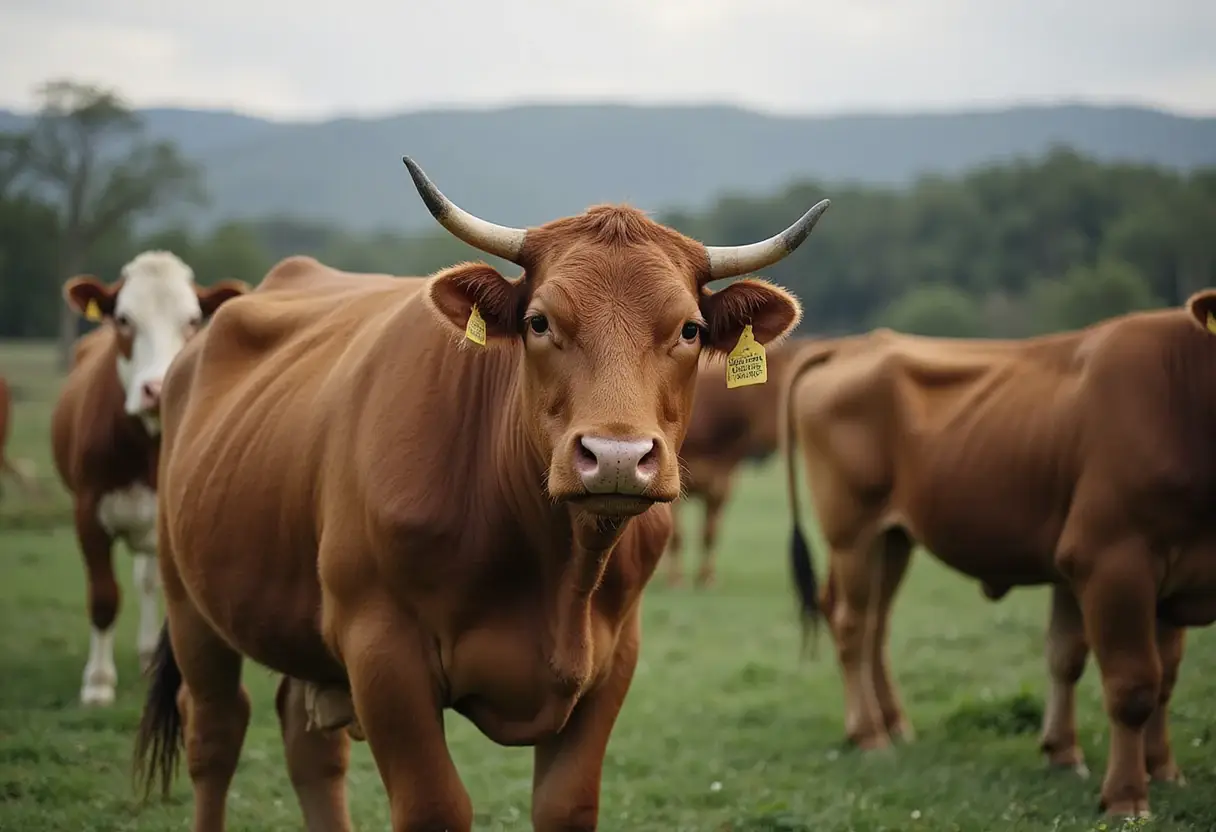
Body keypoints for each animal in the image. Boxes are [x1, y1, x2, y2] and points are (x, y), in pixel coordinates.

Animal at [50, 251, 248, 707]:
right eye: (124, 319)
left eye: (192, 319)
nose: (156, 388)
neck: (146, 447)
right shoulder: (88, 513)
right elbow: (104, 596)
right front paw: (98, 683)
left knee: (149, 582)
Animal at [665, 337, 812, 587]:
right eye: (778, 388)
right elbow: (677, 535)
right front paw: (676, 579)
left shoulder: (723, 482)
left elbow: (710, 532)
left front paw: (707, 578)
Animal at [780, 295, 1216, 817]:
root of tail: (853, 346)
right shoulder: (1113, 561)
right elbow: (1133, 685)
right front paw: (1127, 796)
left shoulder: (1165, 576)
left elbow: (1107, 666)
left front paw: (1151, 768)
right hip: (853, 535)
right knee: (851, 624)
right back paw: (869, 734)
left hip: (893, 539)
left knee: (874, 627)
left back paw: (894, 723)